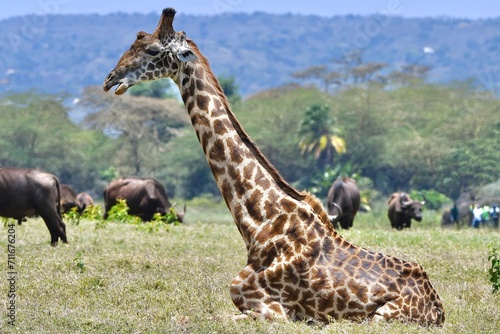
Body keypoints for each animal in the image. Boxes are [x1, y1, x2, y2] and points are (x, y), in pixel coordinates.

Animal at [103, 8, 444, 326]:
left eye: (151, 50)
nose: (110, 79)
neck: (258, 222)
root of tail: (439, 308)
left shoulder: (272, 311)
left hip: (379, 317)